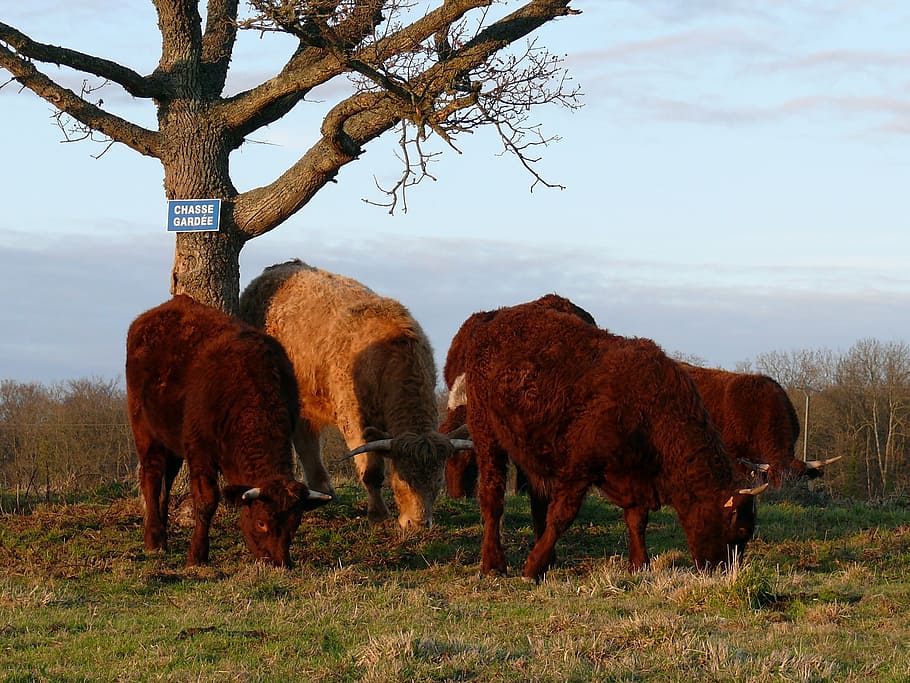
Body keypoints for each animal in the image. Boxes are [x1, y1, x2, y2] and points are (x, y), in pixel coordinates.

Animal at [125, 295, 331, 568]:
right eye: (261, 523)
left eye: (295, 524)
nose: (279, 563)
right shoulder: (199, 450)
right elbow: (206, 501)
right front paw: (197, 555)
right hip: (145, 430)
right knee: (151, 475)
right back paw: (154, 539)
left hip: (171, 439)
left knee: (166, 480)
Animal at [239, 260, 473, 530]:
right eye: (402, 479)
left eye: (438, 481)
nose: (419, 523)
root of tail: (278, 268)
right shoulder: (353, 418)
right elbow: (371, 472)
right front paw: (378, 516)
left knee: (306, 441)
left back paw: (323, 491)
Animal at [454, 302, 766, 580]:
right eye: (740, 530)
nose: (726, 572)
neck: (651, 409)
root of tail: (490, 319)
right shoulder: (579, 469)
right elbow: (562, 516)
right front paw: (533, 568)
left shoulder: (636, 475)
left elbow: (637, 520)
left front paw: (639, 564)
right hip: (486, 433)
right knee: (493, 496)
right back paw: (493, 563)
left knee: (536, 497)